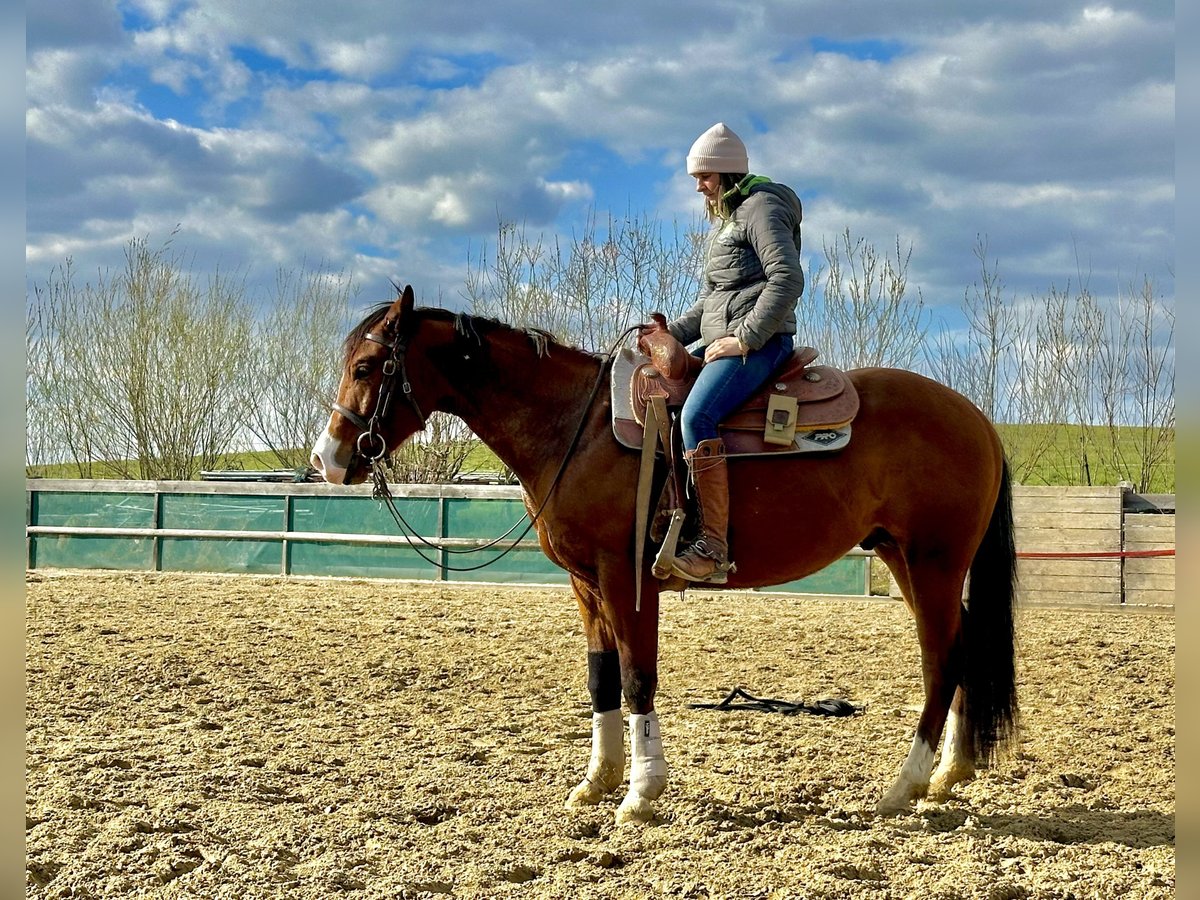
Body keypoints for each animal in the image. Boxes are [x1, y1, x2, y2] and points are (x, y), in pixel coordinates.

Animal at [310, 284, 1018, 826]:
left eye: (367, 367)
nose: (327, 460)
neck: (577, 428)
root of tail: (978, 419)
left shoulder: (626, 578)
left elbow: (636, 678)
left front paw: (641, 793)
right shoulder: (586, 585)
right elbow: (602, 679)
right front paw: (597, 782)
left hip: (932, 561)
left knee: (940, 661)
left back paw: (904, 787)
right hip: (904, 558)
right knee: (960, 650)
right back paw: (950, 772)